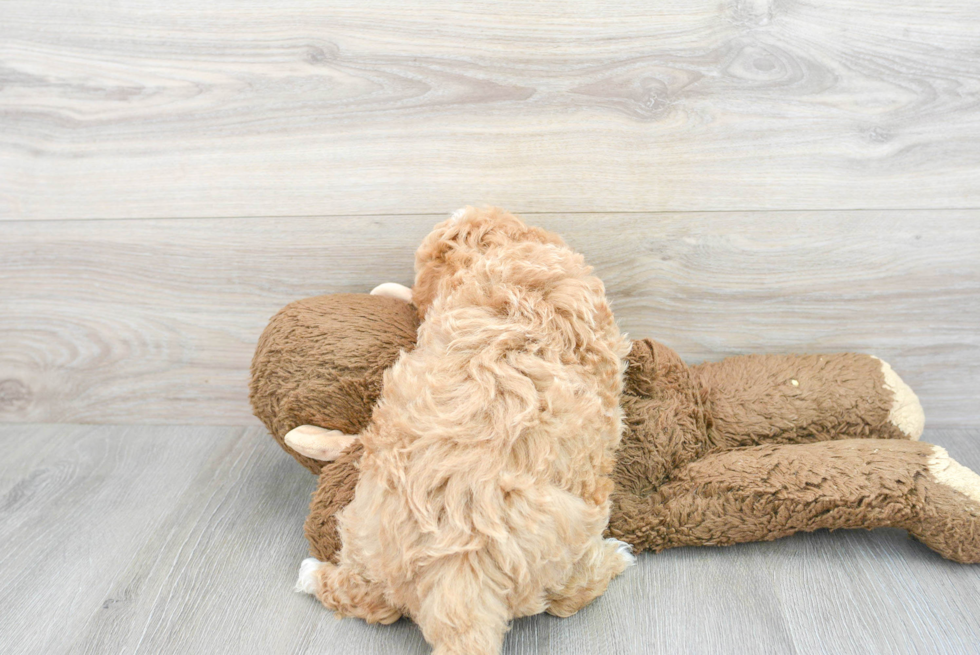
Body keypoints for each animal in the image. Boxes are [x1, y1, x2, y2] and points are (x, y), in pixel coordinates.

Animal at [300, 208, 636, 652]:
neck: (497, 252)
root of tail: (457, 573)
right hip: (572, 536)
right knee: (569, 597)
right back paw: (617, 556)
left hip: (365, 531)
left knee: (368, 597)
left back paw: (311, 574)